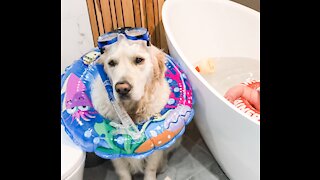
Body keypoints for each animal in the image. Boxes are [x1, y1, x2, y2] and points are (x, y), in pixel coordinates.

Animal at [90, 34, 180, 180]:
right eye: (111, 63)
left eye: (139, 60)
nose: (122, 89)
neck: (131, 110)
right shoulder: (116, 156)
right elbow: (123, 172)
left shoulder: (155, 150)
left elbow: (151, 168)